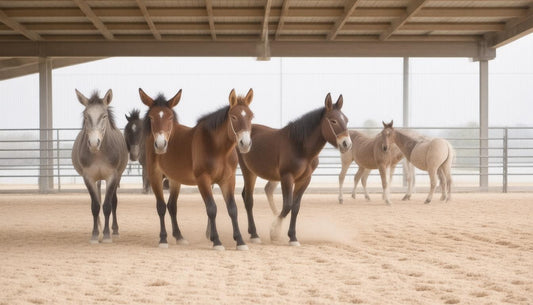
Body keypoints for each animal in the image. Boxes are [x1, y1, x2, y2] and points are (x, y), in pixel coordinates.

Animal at [71, 89, 128, 243]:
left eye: (104, 116)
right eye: (86, 116)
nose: (93, 143)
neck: (99, 154)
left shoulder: (112, 176)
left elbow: (108, 205)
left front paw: (107, 235)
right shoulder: (88, 178)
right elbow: (95, 206)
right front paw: (95, 234)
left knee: (114, 201)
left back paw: (114, 230)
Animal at [138, 86, 252, 248]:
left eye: (250, 117)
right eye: (234, 117)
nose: (245, 143)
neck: (218, 149)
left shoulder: (228, 180)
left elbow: (232, 209)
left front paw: (240, 241)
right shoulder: (202, 180)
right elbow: (212, 209)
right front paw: (217, 241)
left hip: (175, 180)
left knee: (172, 206)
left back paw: (179, 237)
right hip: (155, 176)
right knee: (161, 207)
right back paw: (163, 239)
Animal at [239, 92, 352, 245]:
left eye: (346, 120)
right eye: (333, 121)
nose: (347, 144)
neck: (300, 147)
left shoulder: (304, 180)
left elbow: (295, 207)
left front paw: (292, 237)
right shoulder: (287, 177)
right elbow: (287, 205)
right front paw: (275, 231)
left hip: (254, 172)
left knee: (246, 195)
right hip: (247, 171)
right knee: (249, 200)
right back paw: (255, 235)